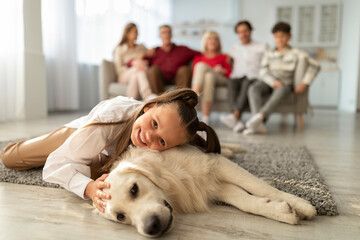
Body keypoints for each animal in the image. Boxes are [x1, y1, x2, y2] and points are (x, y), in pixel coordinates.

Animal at [97, 143, 316, 237]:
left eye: (134, 189)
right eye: (121, 217)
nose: (152, 227)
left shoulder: (215, 164)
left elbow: (258, 186)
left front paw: (301, 205)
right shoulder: (213, 186)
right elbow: (245, 201)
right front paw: (279, 210)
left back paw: (232, 149)